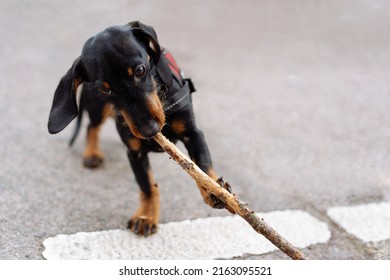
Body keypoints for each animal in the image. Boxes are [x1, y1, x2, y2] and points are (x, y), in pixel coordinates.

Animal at [48, 20, 232, 236]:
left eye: (140, 70)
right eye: (104, 89)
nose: (149, 130)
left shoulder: (193, 134)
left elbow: (202, 165)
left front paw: (214, 191)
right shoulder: (134, 152)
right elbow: (147, 187)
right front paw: (146, 217)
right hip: (98, 108)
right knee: (91, 127)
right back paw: (91, 153)